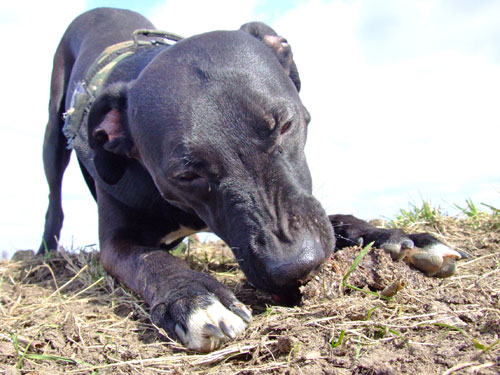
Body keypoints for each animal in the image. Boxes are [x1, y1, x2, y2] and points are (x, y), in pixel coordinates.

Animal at [40, 8, 468, 352]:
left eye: (285, 125)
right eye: (186, 174)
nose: (296, 268)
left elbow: (333, 221)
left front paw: (392, 236)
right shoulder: (117, 242)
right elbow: (149, 259)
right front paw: (194, 297)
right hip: (51, 137)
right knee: (53, 201)